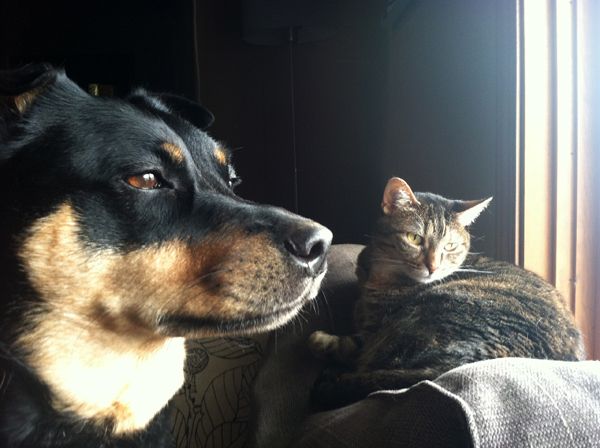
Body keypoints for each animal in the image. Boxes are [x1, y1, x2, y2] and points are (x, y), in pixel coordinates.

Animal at [310, 178, 584, 410]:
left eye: (450, 246)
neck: (380, 275)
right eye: (414, 238)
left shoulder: (374, 331)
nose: (432, 267)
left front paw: (320, 340)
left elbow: (351, 343)